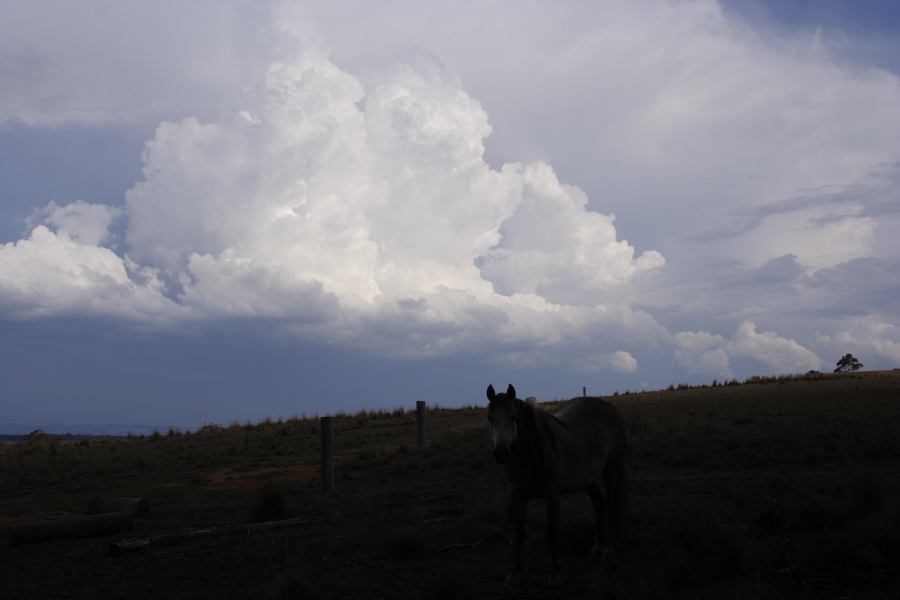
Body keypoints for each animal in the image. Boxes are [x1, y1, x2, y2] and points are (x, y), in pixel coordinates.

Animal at [486, 384, 624, 584]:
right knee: (599, 503)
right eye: (490, 418)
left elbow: (552, 531)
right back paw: (596, 548)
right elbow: (520, 532)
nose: (501, 453)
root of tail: (609, 407)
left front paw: (555, 574)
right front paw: (516, 572)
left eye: (514, 417)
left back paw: (608, 550)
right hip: (587, 479)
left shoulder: (552, 495)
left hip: (610, 469)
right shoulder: (519, 495)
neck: (529, 456)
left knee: (611, 505)